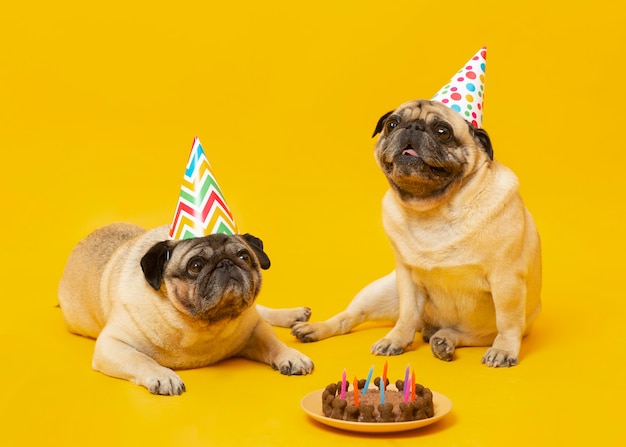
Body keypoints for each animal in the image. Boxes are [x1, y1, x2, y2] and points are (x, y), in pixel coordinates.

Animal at [58, 224, 312, 396]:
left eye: (244, 256)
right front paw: (163, 376)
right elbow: (141, 359)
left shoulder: (254, 327)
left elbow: (273, 342)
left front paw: (291, 355)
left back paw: (293, 315)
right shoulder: (112, 344)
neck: (201, 325)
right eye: (195, 266)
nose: (226, 262)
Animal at [290, 100, 540, 368]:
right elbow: (407, 314)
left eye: (443, 132)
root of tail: (429, 328)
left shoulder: (506, 279)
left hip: (481, 331)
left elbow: (508, 321)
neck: (434, 210)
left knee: (464, 333)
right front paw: (395, 340)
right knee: (349, 318)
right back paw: (314, 329)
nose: (413, 127)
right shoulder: (407, 277)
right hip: (379, 292)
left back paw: (444, 341)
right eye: (392, 124)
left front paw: (503, 350)